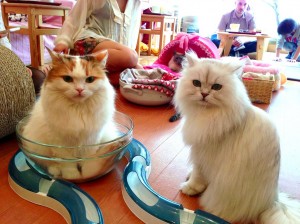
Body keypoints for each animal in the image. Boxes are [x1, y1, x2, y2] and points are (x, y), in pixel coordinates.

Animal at [21, 49, 116, 180]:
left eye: (90, 79)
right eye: (67, 79)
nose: (79, 90)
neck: (77, 108)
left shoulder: (91, 139)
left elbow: (88, 161)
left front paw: (86, 175)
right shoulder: (60, 143)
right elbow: (68, 164)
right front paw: (73, 176)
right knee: (49, 162)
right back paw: (55, 171)